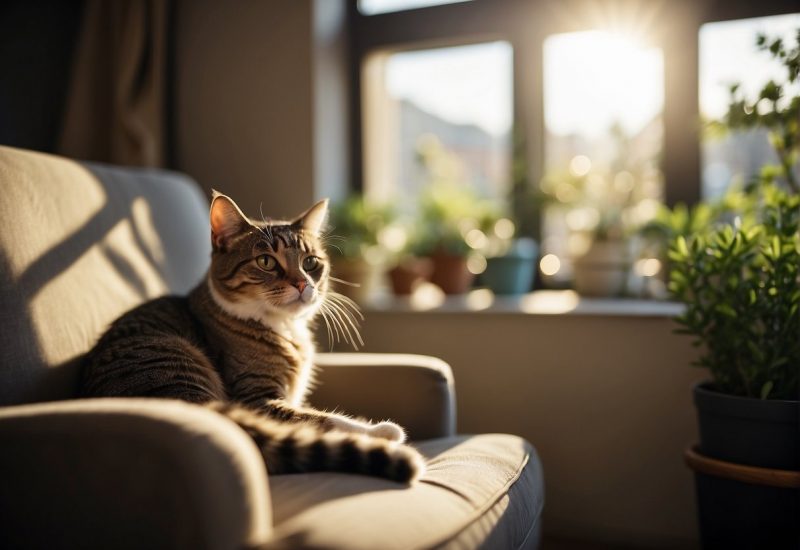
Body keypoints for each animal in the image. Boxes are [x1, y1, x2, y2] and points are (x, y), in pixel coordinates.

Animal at [81, 192, 424, 486]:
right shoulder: (257, 398)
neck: (283, 327)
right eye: (266, 262)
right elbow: (319, 420)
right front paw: (382, 431)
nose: (303, 283)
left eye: (311, 262)